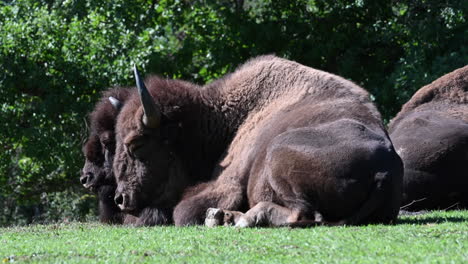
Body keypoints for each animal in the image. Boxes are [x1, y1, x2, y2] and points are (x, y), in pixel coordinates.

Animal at [110, 55, 402, 227]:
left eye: (136, 144)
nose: (120, 199)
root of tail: (385, 167)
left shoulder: (227, 184)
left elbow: (183, 212)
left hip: (277, 153)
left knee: (303, 214)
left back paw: (228, 218)